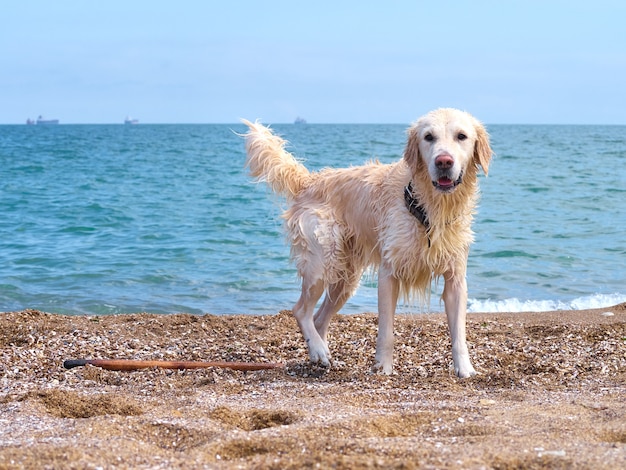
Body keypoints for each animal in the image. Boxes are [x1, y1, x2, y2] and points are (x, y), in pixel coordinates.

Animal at [241, 109, 490, 378]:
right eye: (428, 137)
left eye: (461, 136)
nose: (444, 161)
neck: (429, 207)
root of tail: (309, 181)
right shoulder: (389, 273)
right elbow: (386, 331)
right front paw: (383, 367)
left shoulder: (456, 279)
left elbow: (459, 333)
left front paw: (465, 369)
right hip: (322, 261)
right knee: (301, 311)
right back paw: (318, 349)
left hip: (346, 277)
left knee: (319, 319)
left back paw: (321, 355)